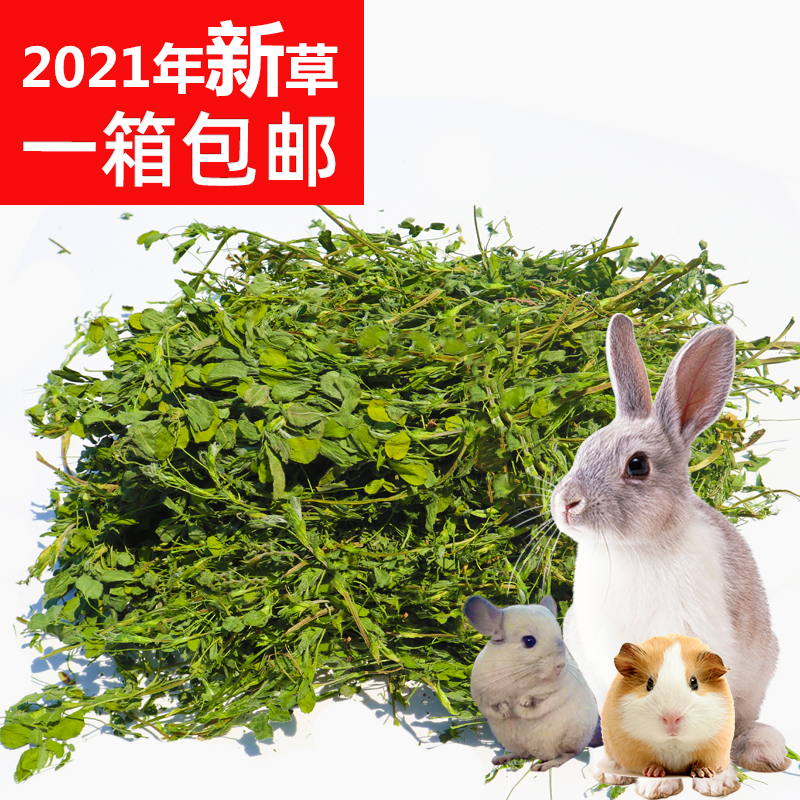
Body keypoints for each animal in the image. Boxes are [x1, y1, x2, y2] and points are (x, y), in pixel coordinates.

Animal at [463, 594, 599, 772]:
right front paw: (506, 712)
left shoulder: (555, 688)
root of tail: (539, 753)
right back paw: (501, 758)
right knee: (522, 754)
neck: (519, 673)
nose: (560, 665)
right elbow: (495, 703)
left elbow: (538, 695)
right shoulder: (484, 692)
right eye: (529, 641)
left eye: (560, 637)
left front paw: (523, 703)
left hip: (572, 738)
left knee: (567, 755)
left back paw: (542, 766)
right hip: (512, 742)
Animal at [601, 635, 735, 780]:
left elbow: (703, 762)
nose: (671, 718)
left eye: (694, 683)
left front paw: (704, 773)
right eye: (649, 683)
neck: (673, 742)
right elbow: (649, 763)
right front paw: (653, 772)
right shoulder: (633, 753)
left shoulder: (715, 749)